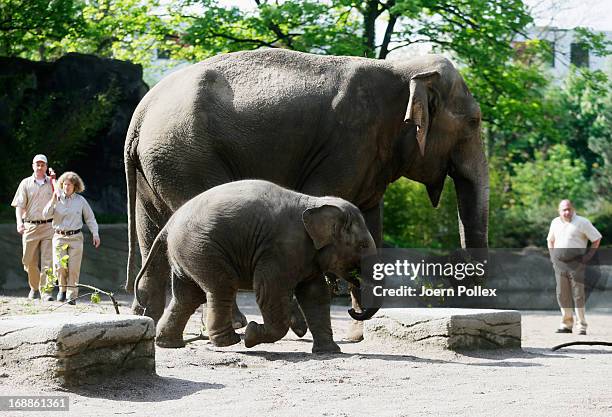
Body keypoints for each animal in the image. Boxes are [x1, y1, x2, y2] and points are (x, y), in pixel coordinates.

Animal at [136, 179, 376, 352]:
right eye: (363, 245)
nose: (351, 309)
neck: (314, 203)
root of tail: (169, 224)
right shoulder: (281, 250)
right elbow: (269, 291)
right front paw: (251, 334)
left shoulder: (304, 256)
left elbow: (315, 294)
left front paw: (329, 352)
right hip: (201, 249)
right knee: (220, 287)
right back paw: (230, 341)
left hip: (186, 254)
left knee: (187, 296)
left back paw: (169, 344)